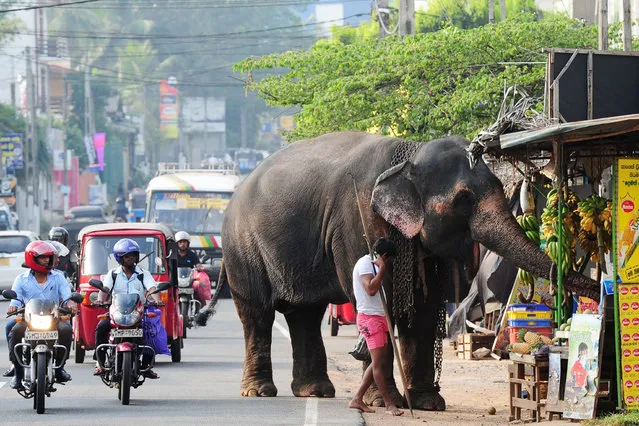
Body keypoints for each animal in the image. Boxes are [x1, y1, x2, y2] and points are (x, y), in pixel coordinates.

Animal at [221, 132, 600, 410]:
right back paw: (259, 392)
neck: (407, 156)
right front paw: (385, 402)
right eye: (463, 199)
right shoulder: (356, 221)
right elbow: (380, 299)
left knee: (305, 314)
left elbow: (425, 308)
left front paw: (429, 403)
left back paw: (314, 391)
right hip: (241, 248)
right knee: (257, 314)